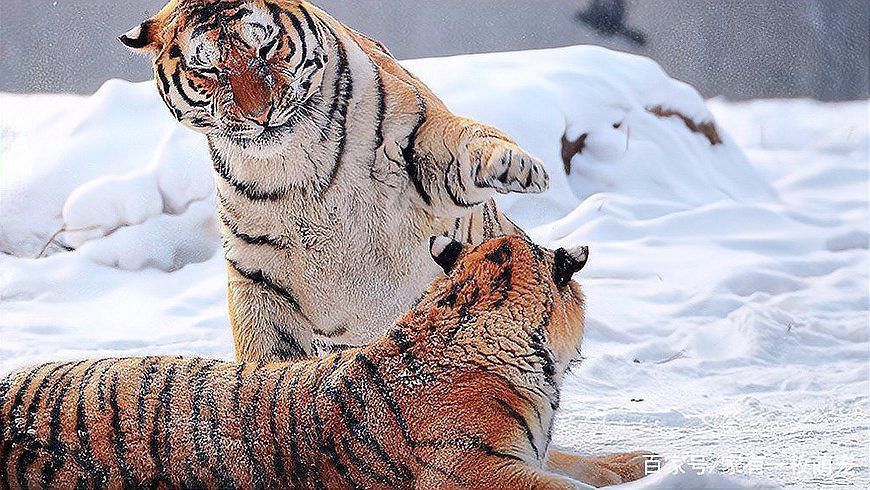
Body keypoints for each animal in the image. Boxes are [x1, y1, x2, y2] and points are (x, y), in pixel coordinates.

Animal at [119, 0, 549, 363]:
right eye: (208, 70)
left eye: (266, 47)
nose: (260, 114)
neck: (294, 164)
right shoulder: (258, 275)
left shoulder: (424, 144)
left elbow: (467, 141)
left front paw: (515, 165)